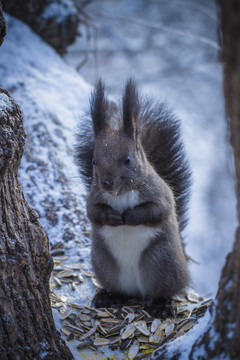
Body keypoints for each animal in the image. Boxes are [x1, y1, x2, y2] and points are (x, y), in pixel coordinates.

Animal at [75, 79, 191, 310]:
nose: (107, 184)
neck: (121, 194)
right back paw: (108, 296)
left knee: (165, 289)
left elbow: (160, 209)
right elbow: (92, 212)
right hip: (106, 265)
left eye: (127, 159)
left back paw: (162, 304)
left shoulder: (159, 193)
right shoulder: (94, 196)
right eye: (94, 161)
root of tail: (137, 292)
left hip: (161, 263)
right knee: (118, 289)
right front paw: (111, 216)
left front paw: (130, 216)